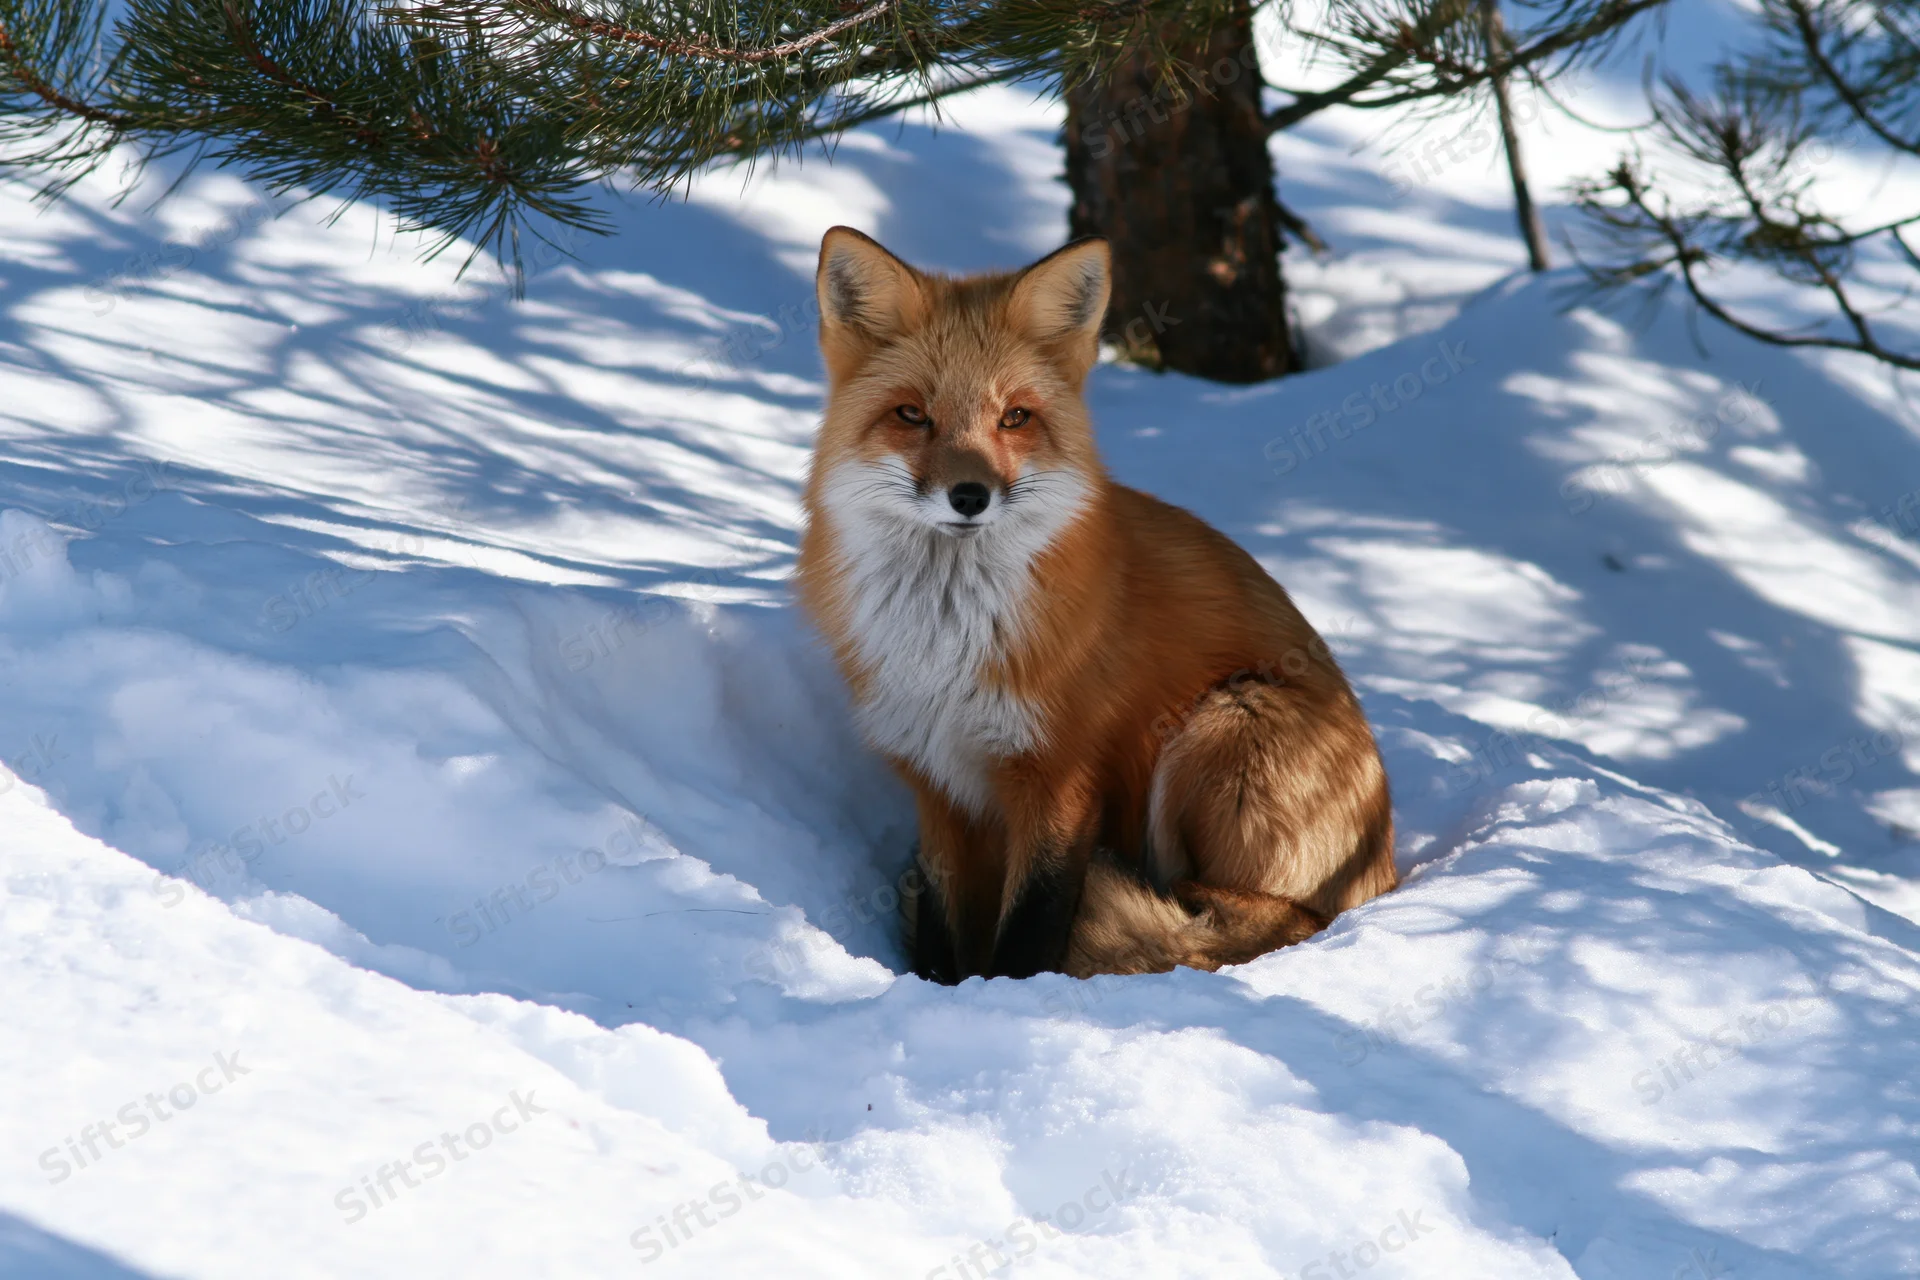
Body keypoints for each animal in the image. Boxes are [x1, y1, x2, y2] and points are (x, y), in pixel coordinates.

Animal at [795, 226, 1396, 983]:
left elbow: (1031, 929)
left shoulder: (1060, 779)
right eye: (911, 415)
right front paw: (943, 987)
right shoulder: (937, 784)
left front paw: (1009, 992)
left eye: (1015, 418)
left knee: (1269, 920)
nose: (970, 496)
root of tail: (1385, 869)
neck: (945, 646)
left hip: (1224, 718)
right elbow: (940, 926)